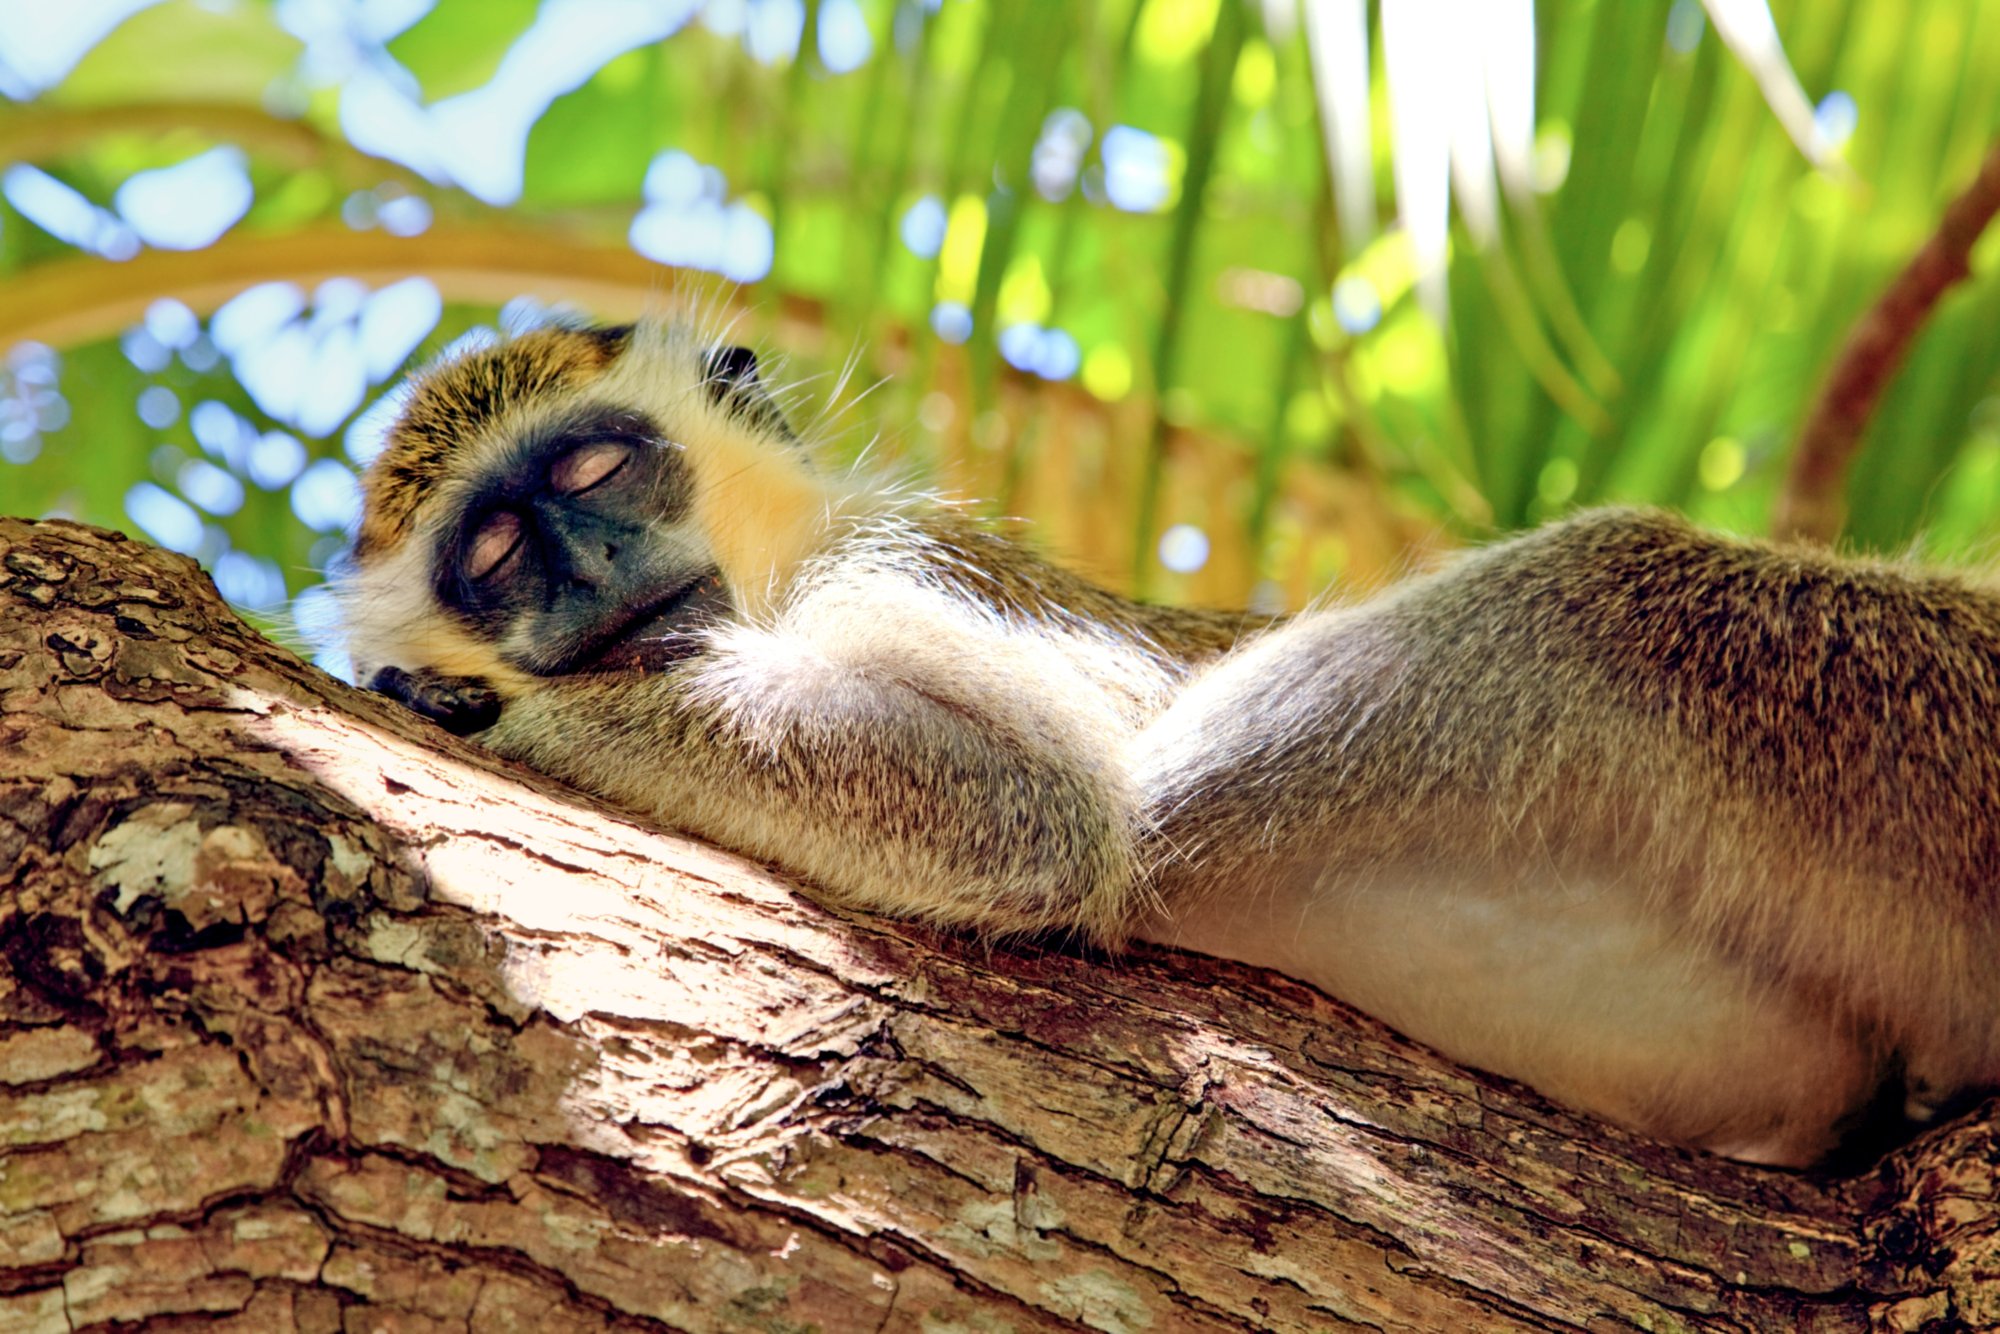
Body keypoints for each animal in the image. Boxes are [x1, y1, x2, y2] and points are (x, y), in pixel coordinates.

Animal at [336, 316, 2000, 1168]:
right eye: (495, 554)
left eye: (596, 470)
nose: (583, 574)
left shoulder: (893, 564)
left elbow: (1037, 805)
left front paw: (516, 713)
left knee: (1597, 593)